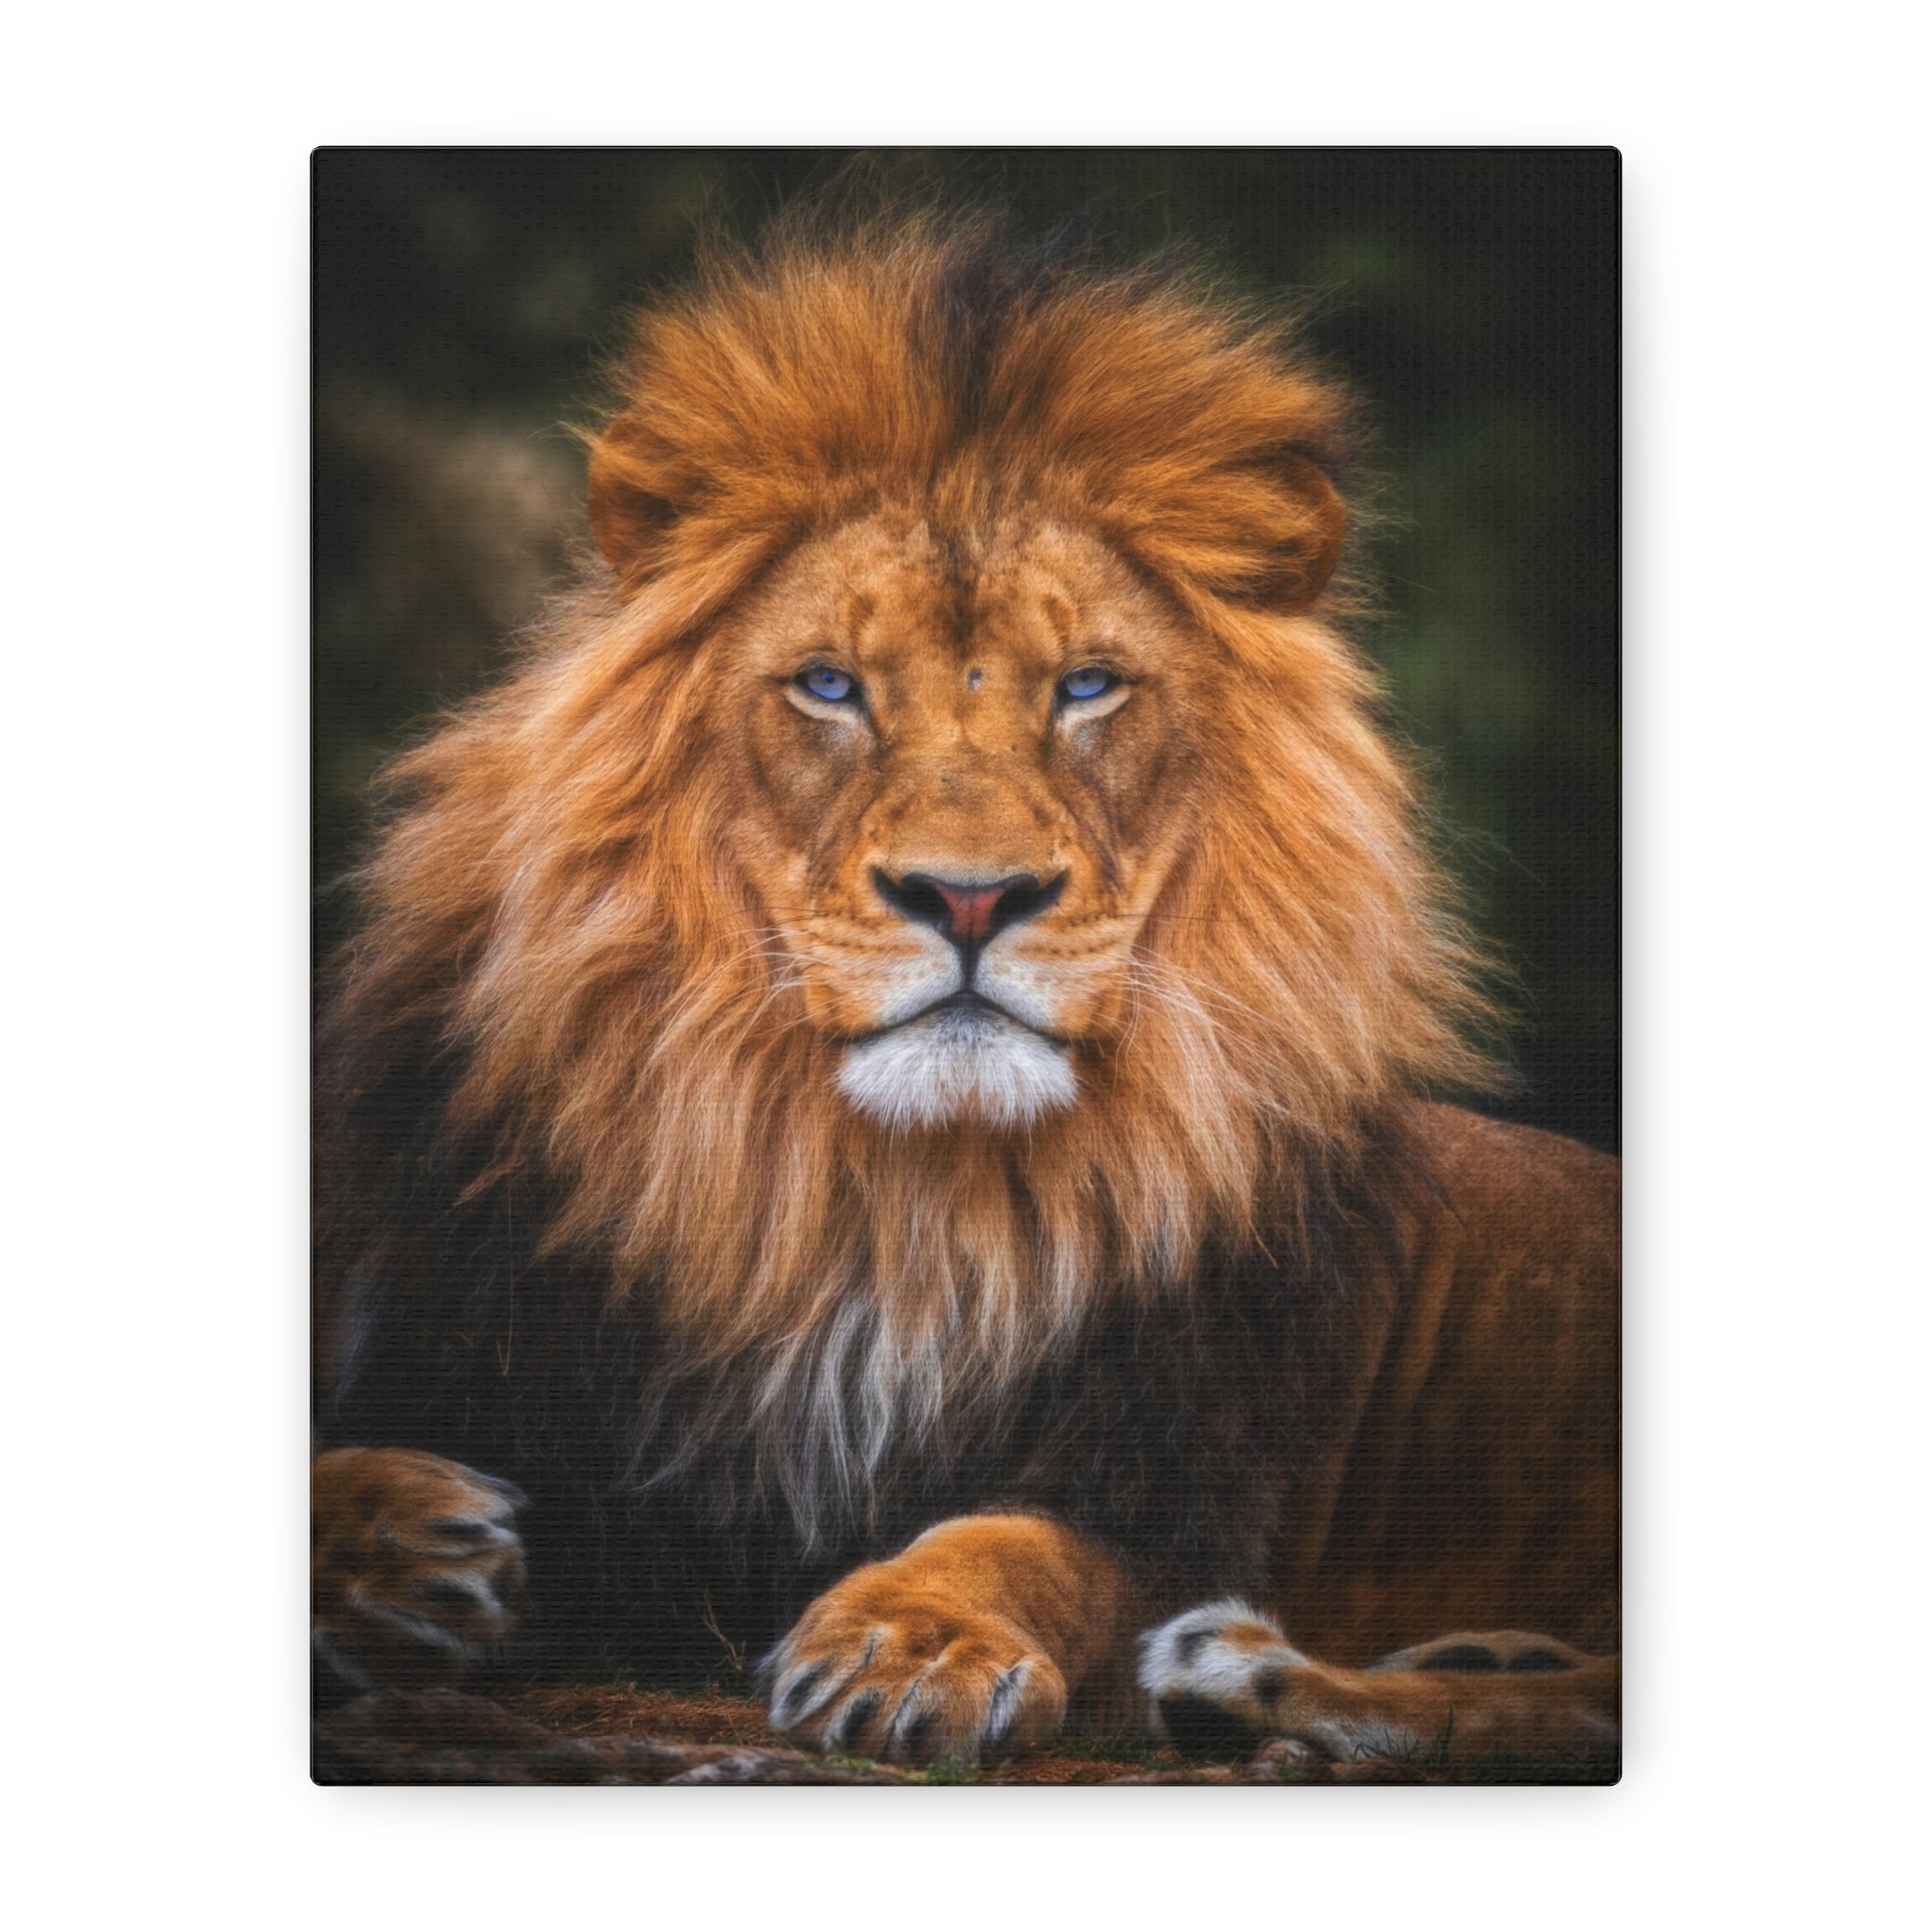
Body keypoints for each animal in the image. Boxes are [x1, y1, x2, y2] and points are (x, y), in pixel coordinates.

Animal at [313, 208, 1619, 1778]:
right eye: (828, 685)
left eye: (1089, 686)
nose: (973, 898)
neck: (884, 1205)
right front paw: (400, 1542)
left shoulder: (1173, 1479)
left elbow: (1018, 1545)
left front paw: (911, 1642)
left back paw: (1253, 1676)